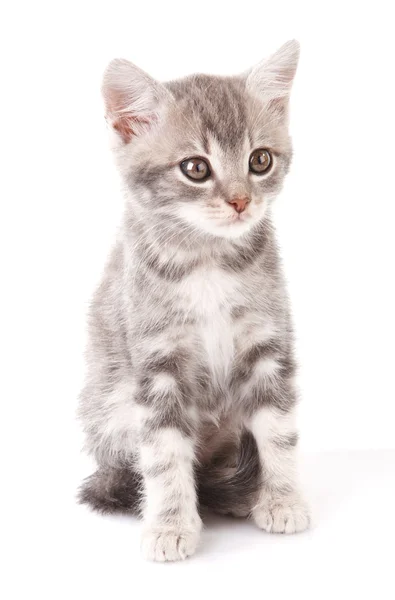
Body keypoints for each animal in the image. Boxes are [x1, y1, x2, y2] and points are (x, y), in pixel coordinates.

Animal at [79, 39, 310, 560]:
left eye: (260, 160)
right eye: (196, 168)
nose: (241, 201)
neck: (208, 261)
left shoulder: (268, 344)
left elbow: (278, 431)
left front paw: (282, 499)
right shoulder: (156, 363)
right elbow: (164, 454)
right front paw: (170, 525)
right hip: (108, 411)